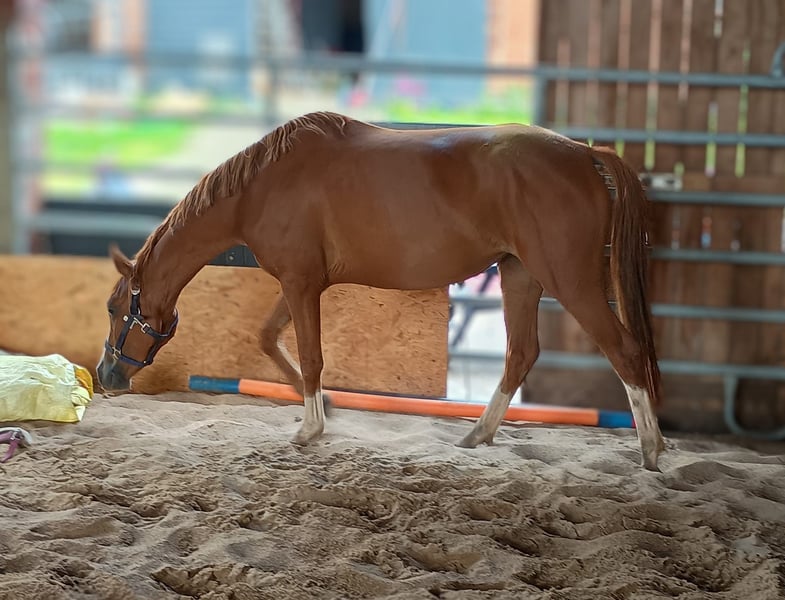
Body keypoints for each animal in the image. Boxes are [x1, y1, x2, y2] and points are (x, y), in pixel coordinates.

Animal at [97, 111, 666, 471]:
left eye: (115, 308)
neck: (261, 186)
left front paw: (310, 428)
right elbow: (268, 339)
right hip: (519, 275)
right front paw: (328, 411)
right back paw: (477, 435)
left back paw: (652, 450)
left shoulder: (301, 283)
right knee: (521, 353)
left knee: (624, 349)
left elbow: (310, 355)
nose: (106, 375)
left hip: (570, 280)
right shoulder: (300, 280)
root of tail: (587, 156)